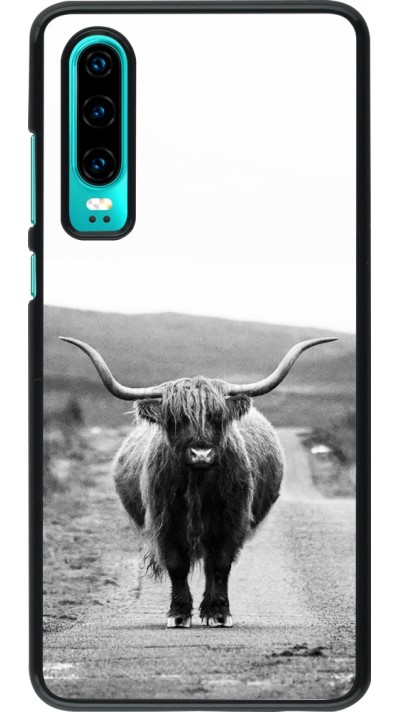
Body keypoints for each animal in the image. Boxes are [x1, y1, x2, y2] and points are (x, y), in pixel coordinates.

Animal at [60, 335, 336, 628]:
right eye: (176, 419)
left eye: (217, 417)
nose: (201, 453)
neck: (197, 483)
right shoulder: (165, 522)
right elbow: (177, 565)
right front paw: (178, 614)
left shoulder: (231, 521)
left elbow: (220, 565)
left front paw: (218, 612)